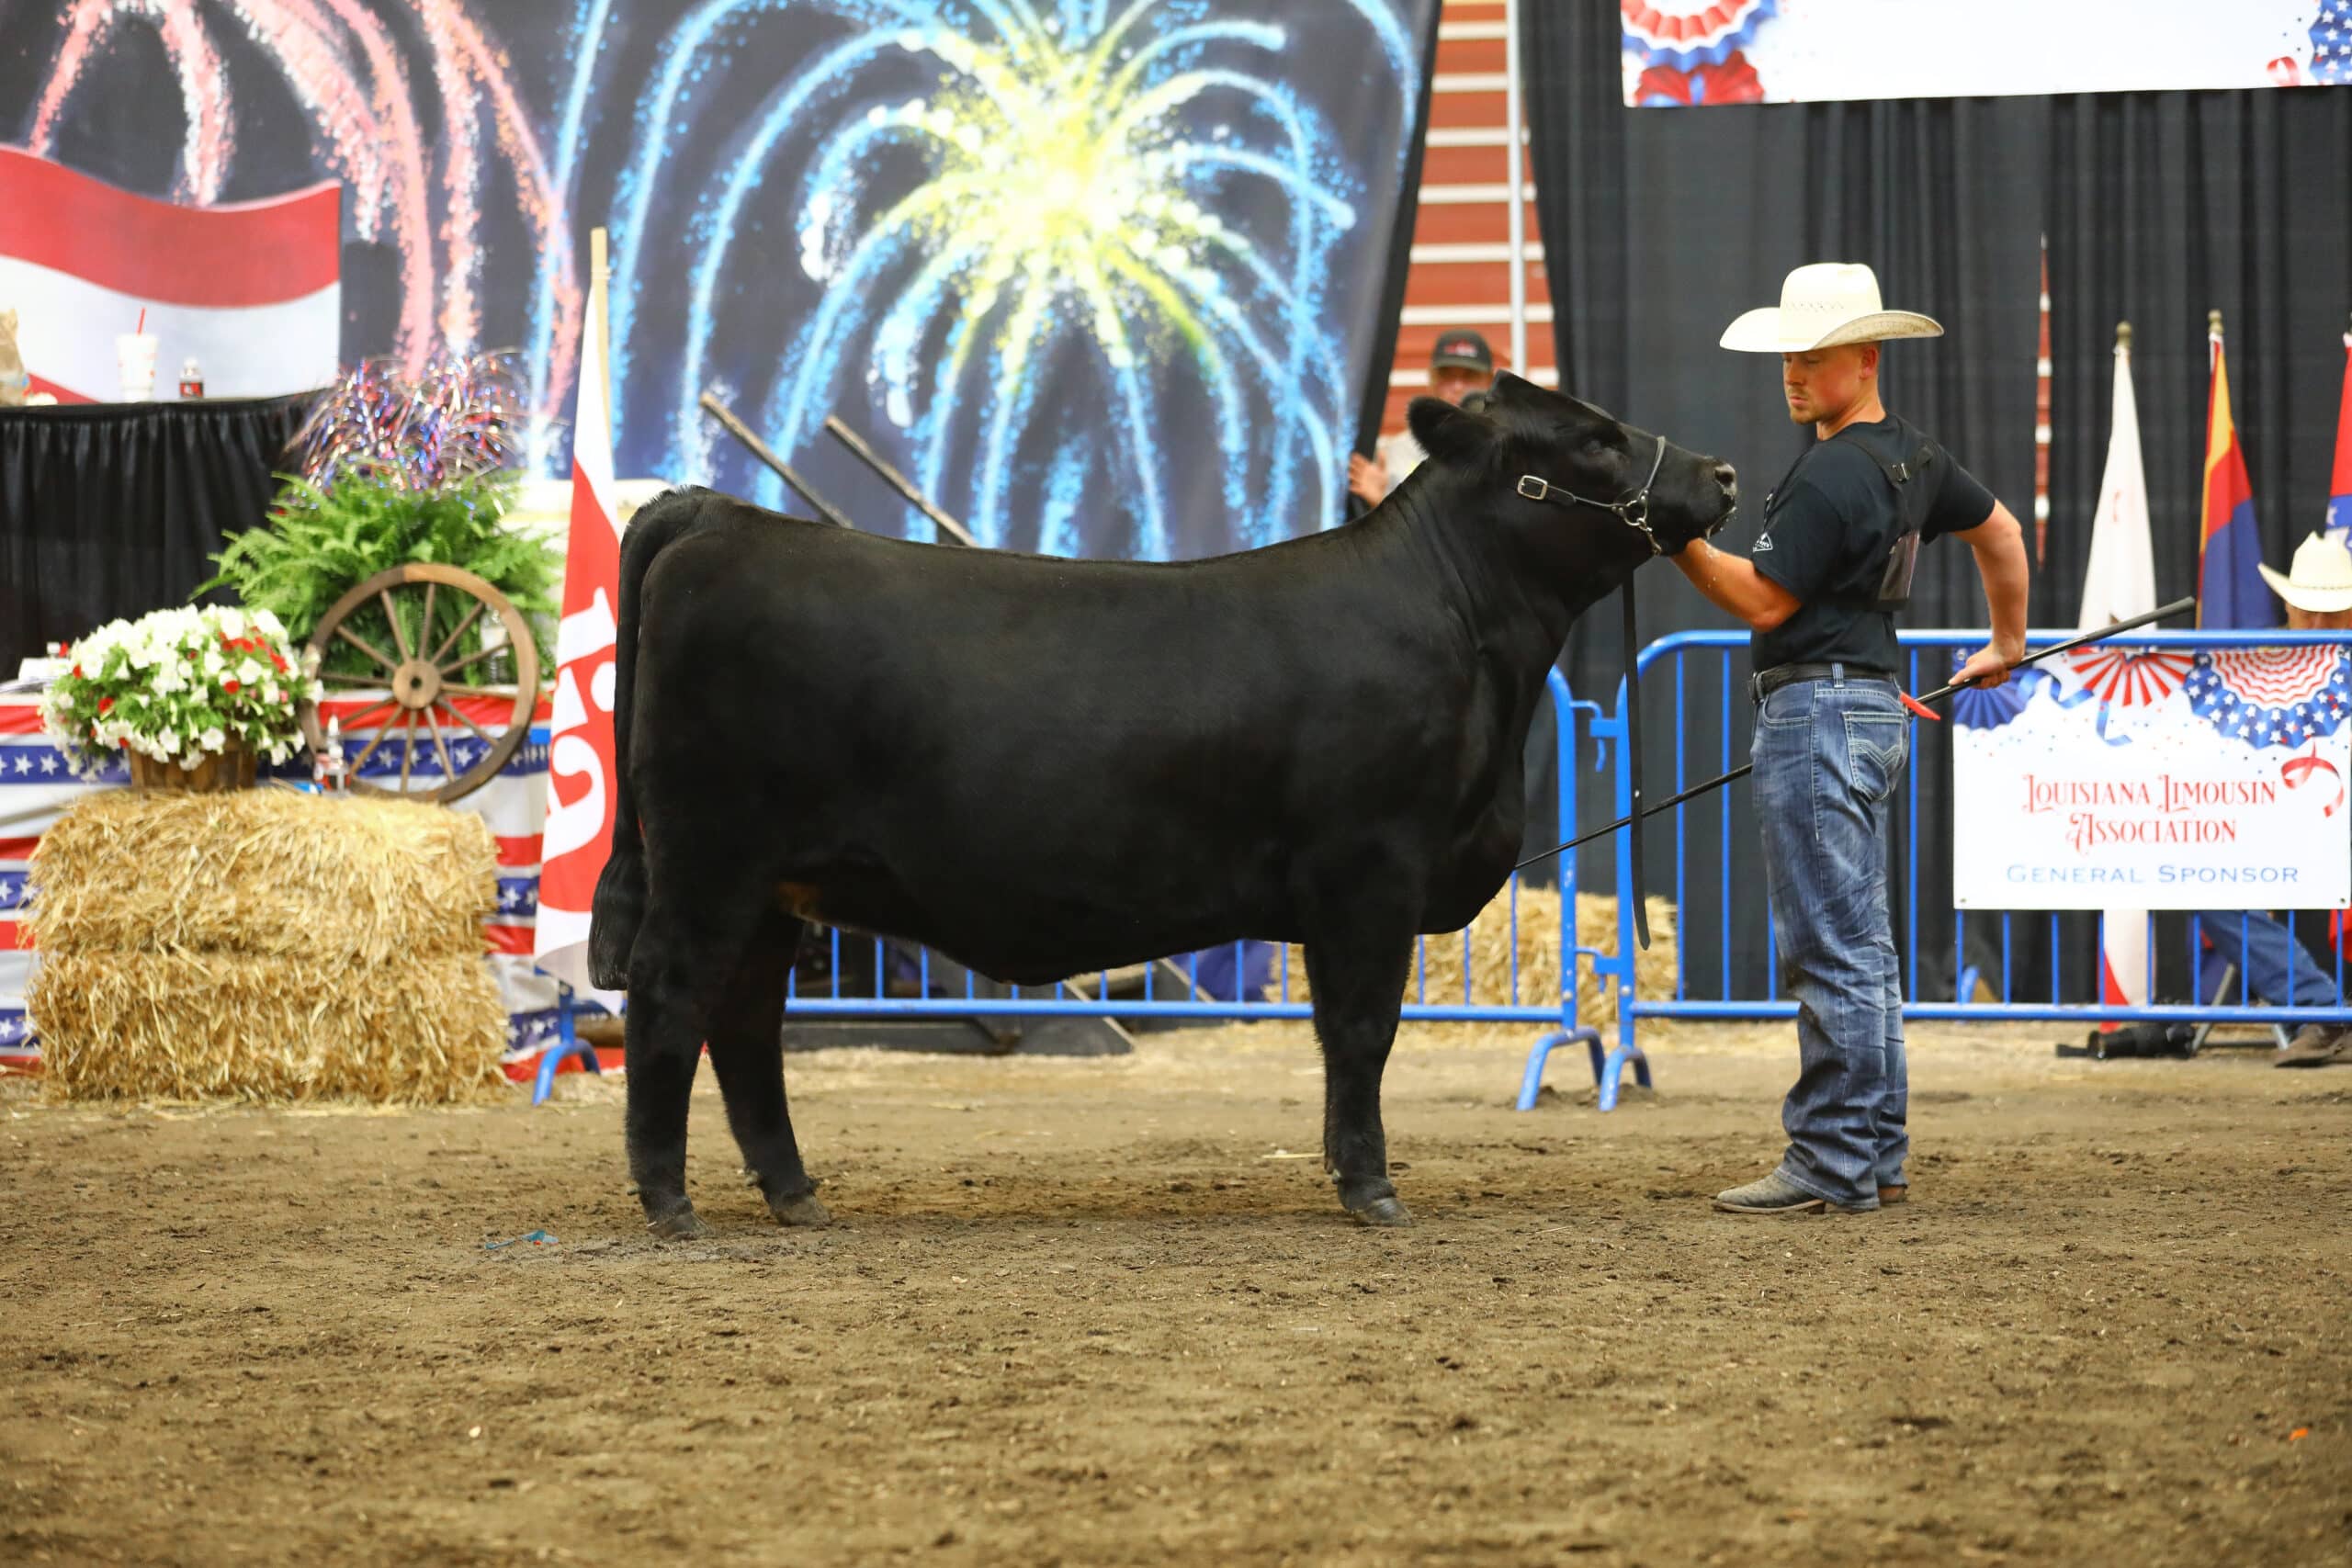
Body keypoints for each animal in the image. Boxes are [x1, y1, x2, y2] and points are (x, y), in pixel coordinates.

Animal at [588, 372, 1738, 1237]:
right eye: (1593, 442)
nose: (1722, 473)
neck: (1458, 625)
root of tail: (721, 515)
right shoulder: (1368, 868)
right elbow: (1362, 1029)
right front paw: (1371, 1189)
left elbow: (1343, 1035)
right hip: (712, 858)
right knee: (671, 996)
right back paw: (669, 1202)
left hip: (775, 884)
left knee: (744, 1021)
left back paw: (795, 1196)